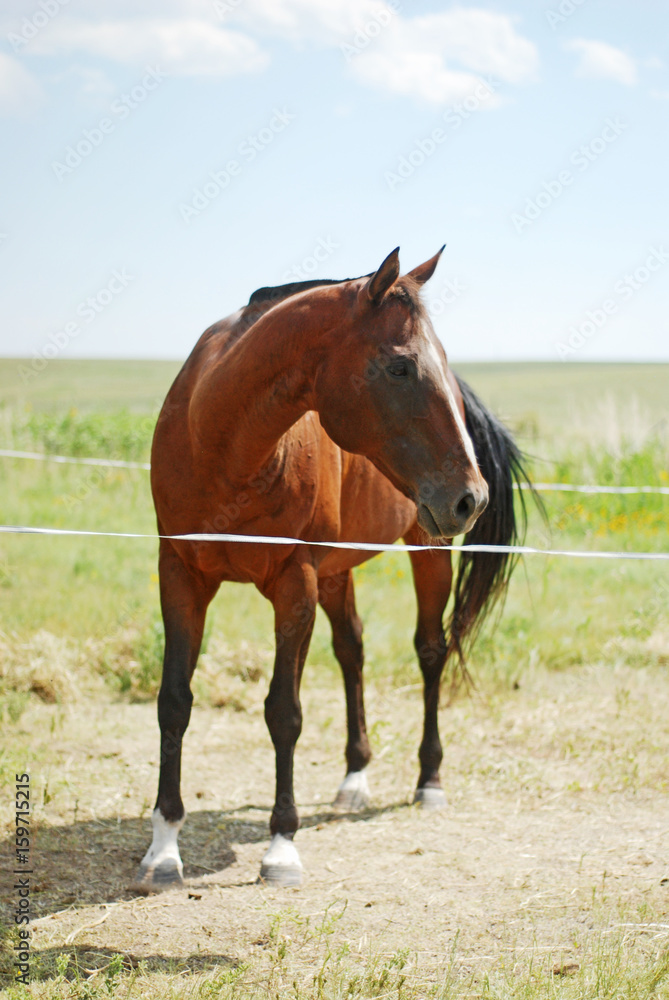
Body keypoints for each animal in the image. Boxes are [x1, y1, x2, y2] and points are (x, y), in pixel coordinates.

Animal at [138, 250, 528, 892]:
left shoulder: (293, 584)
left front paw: (281, 848)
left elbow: (284, 712)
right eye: (400, 367)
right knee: (353, 650)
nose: (472, 497)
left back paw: (428, 780)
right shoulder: (181, 575)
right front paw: (164, 848)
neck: (221, 444)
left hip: (425, 550)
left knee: (430, 651)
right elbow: (173, 701)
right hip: (336, 572)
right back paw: (354, 780)